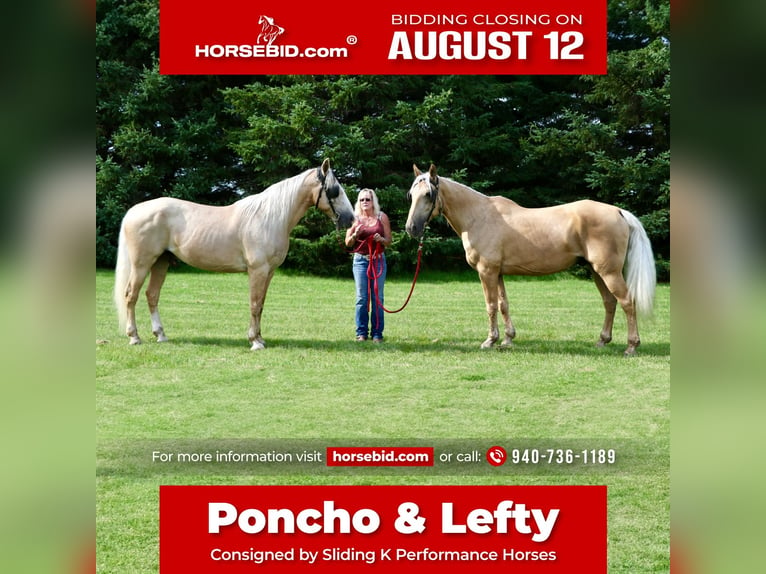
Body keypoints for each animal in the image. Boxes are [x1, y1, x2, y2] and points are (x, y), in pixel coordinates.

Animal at [115, 161, 356, 352]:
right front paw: (255, 342)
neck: (269, 217)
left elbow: (261, 304)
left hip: (161, 262)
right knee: (131, 295)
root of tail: (134, 211)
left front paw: (260, 338)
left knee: (152, 295)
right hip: (142, 264)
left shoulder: (269, 272)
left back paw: (161, 335)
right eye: (334, 190)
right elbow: (254, 304)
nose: (351, 219)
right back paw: (134, 337)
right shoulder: (257, 270)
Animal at [404, 164, 656, 358]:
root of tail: (618, 211)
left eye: (428, 195)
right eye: (411, 195)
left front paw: (490, 341)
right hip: (597, 271)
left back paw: (631, 346)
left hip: (609, 272)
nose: (411, 228)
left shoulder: (487, 271)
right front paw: (508, 339)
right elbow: (503, 305)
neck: (479, 217)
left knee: (626, 302)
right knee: (609, 303)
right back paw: (602, 341)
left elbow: (491, 305)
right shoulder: (498, 272)